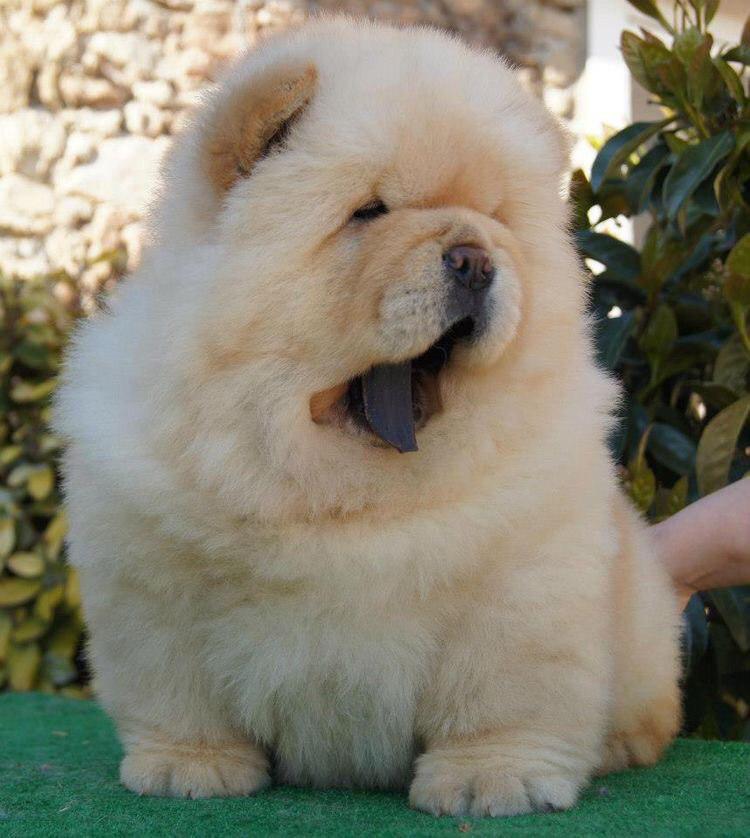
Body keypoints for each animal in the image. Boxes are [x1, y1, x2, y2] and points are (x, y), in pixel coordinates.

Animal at [55, 18, 684, 820]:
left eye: (498, 218)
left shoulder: (523, 578)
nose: (476, 258)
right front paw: (188, 768)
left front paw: (493, 779)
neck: (343, 483)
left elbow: (505, 694)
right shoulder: (152, 580)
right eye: (370, 212)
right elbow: (175, 687)